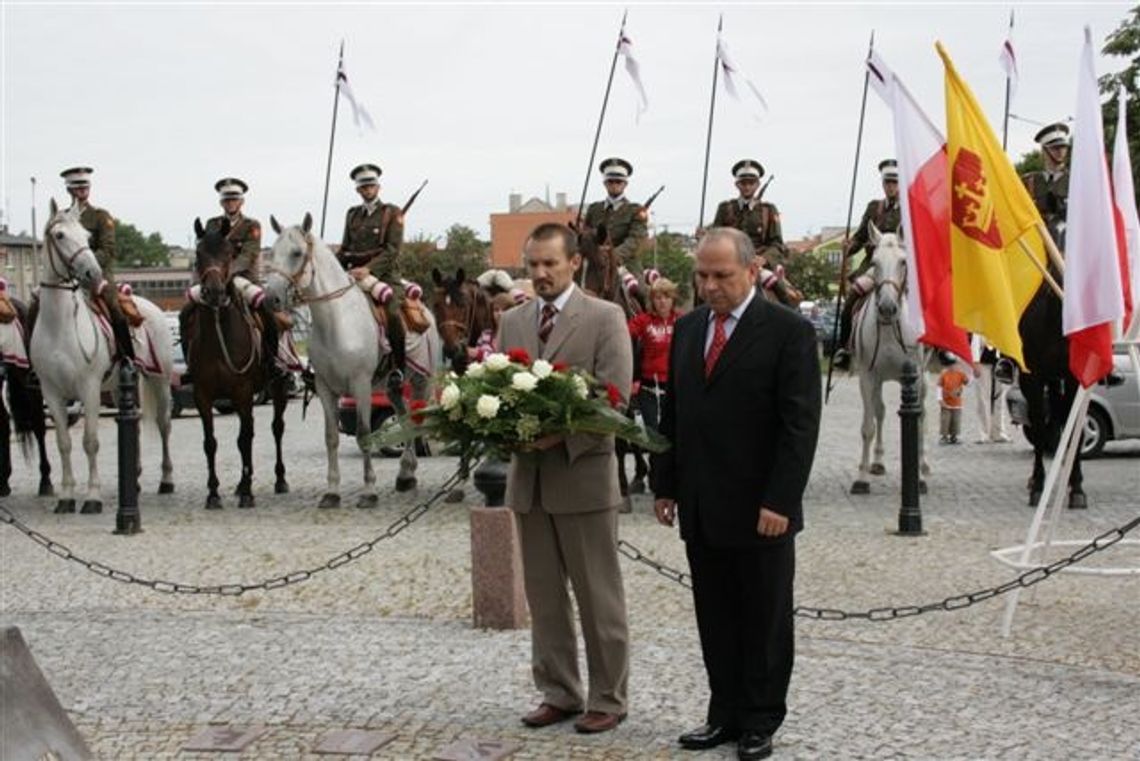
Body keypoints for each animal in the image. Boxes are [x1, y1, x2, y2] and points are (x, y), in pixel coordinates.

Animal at [31, 199, 174, 514]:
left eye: (87, 237)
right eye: (59, 235)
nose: (92, 274)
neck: (60, 326)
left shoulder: (90, 389)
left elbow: (90, 441)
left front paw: (92, 498)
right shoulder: (51, 393)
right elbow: (63, 443)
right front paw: (66, 497)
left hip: (159, 381)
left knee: (164, 425)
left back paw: (166, 480)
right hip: (123, 388)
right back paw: (134, 480)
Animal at [186, 216, 289, 508]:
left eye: (229, 253)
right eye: (199, 254)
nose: (214, 292)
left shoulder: (243, 392)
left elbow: (244, 440)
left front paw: (247, 493)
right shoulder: (203, 395)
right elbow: (210, 442)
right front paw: (213, 493)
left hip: (278, 388)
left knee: (276, 428)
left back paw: (278, 480)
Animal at [262, 214, 414, 508]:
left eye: (297, 253)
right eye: (271, 253)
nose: (270, 298)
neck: (336, 322)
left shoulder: (361, 386)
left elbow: (365, 434)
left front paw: (369, 491)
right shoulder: (325, 388)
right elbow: (331, 437)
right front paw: (332, 491)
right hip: (390, 386)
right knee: (404, 416)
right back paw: (406, 474)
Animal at [848, 227, 925, 494]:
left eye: (903, 262)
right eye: (874, 262)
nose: (888, 308)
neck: (891, 327)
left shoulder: (915, 377)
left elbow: (917, 421)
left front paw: (919, 479)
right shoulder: (867, 377)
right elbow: (868, 427)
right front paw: (861, 478)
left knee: (923, 416)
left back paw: (924, 467)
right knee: (880, 412)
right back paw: (878, 462)